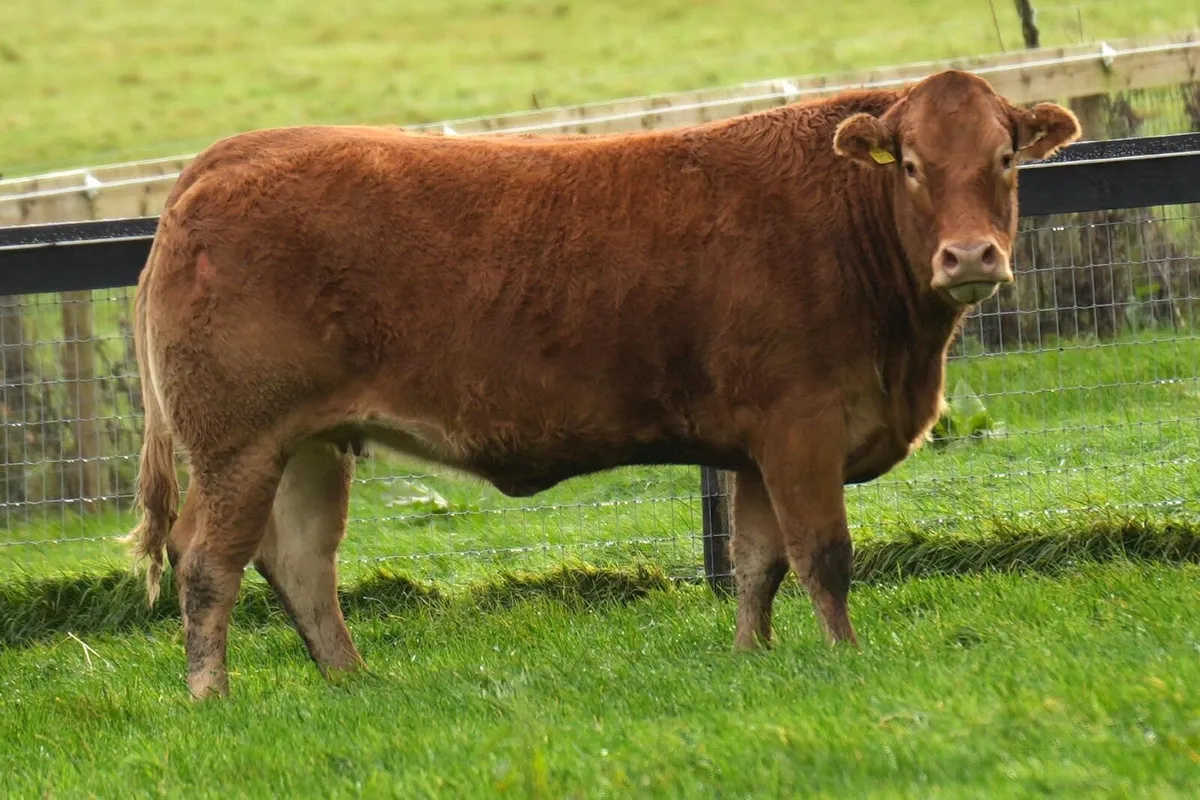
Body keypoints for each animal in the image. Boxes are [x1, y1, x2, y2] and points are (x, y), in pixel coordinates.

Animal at [127, 69, 1080, 698]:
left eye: (1005, 158)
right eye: (911, 164)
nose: (969, 256)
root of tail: (223, 159)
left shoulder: (753, 445)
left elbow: (756, 561)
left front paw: (753, 657)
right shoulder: (800, 425)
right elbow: (823, 554)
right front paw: (844, 657)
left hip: (311, 445)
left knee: (299, 562)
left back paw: (353, 682)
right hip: (238, 443)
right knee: (207, 561)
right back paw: (212, 696)